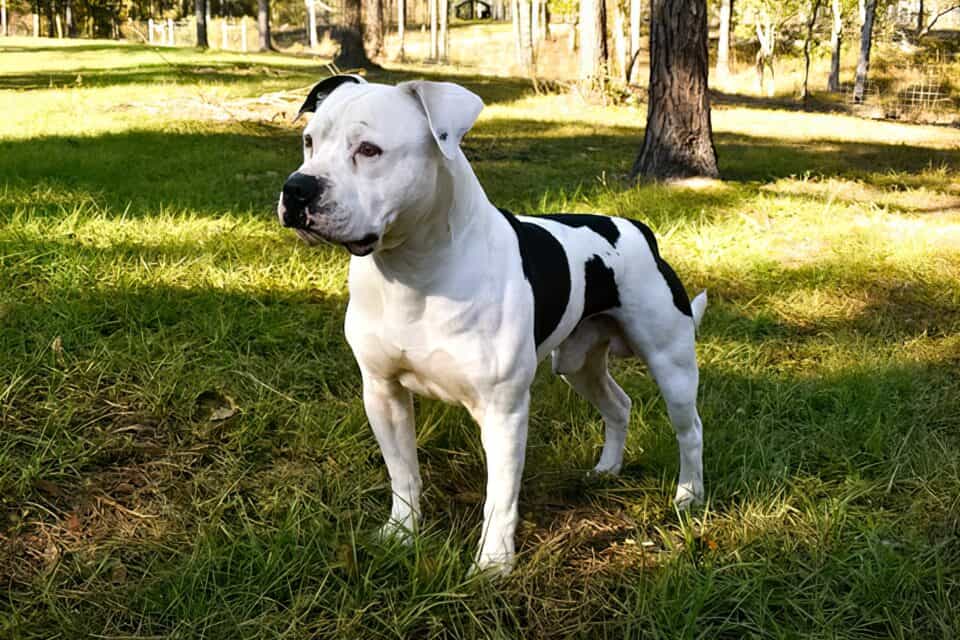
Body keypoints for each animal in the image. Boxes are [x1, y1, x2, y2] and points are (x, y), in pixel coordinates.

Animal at [278, 75, 704, 576]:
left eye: (369, 150)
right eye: (309, 141)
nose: (297, 188)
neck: (413, 269)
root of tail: (638, 228)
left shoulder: (503, 411)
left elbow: (499, 495)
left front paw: (492, 564)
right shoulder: (383, 392)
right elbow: (403, 472)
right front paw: (402, 533)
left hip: (671, 364)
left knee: (690, 429)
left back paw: (689, 495)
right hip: (577, 363)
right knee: (618, 404)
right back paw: (607, 470)